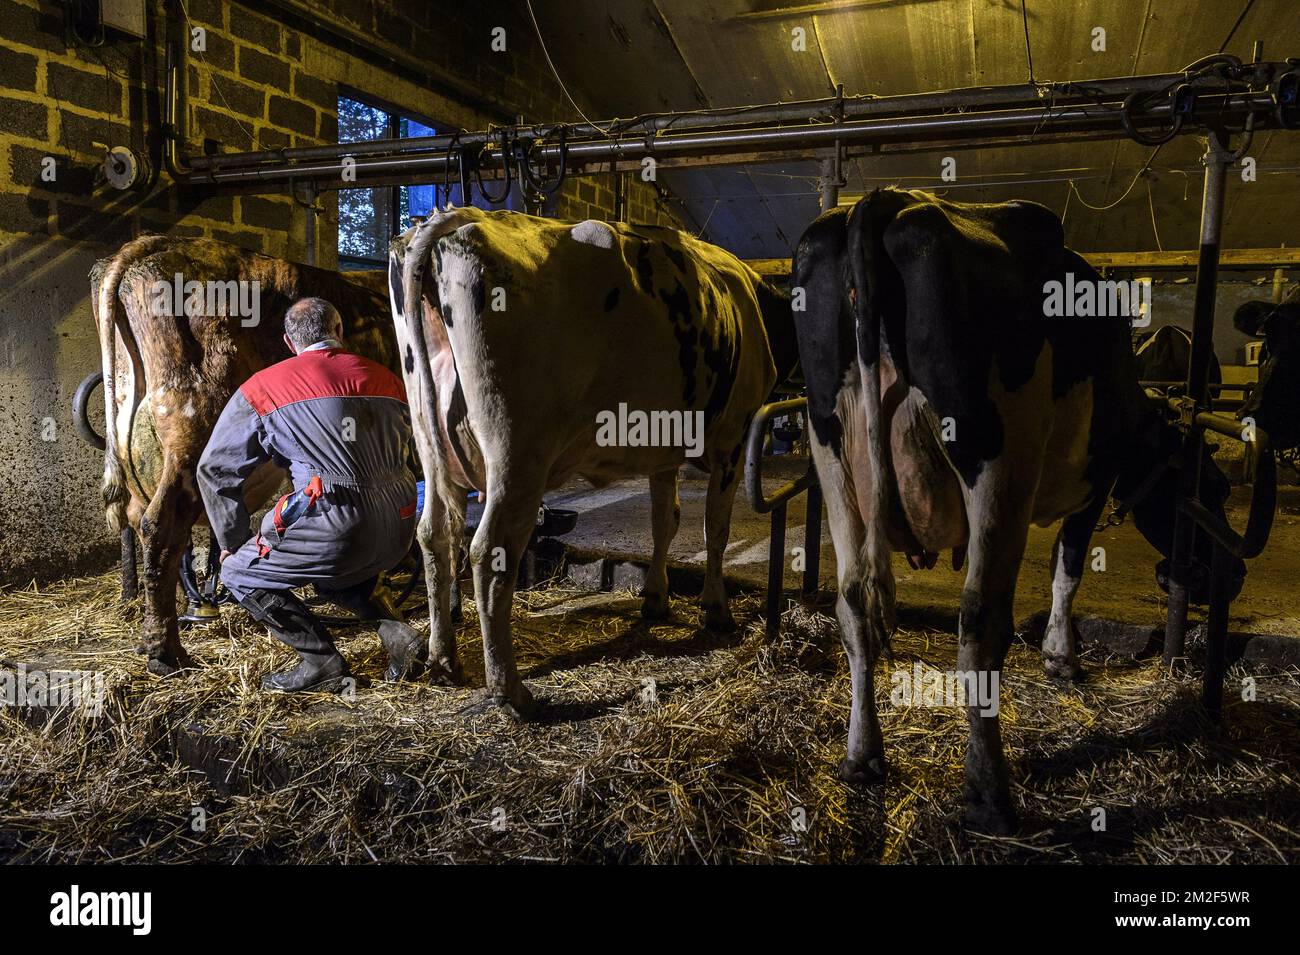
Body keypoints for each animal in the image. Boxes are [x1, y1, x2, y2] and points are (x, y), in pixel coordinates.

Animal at [82, 235, 395, 675]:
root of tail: (153, 245)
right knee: (160, 528)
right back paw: (166, 652)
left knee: (140, 522)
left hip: (135, 446)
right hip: (190, 438)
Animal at [384, 210, 795, 717]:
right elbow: (714, 531)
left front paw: (655, 599)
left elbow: (666, 522)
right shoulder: (733, 440)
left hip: (430, 443)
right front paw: (716, 609)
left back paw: (444, 660)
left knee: (435, 536)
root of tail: (458, 218)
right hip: (517, 454)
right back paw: (510, 690)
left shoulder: (664, 453)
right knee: (490, 550)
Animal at [790, 191, 1237, 831]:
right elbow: (1067, 567)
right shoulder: (1097, 475)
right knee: (979, 618)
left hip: (831, 448)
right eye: (1216, 487)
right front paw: (1061, 658)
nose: (1232, 576)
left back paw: (862, 756)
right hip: (997, 454)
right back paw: (988, 791)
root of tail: (888, 201)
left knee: (853, 603)